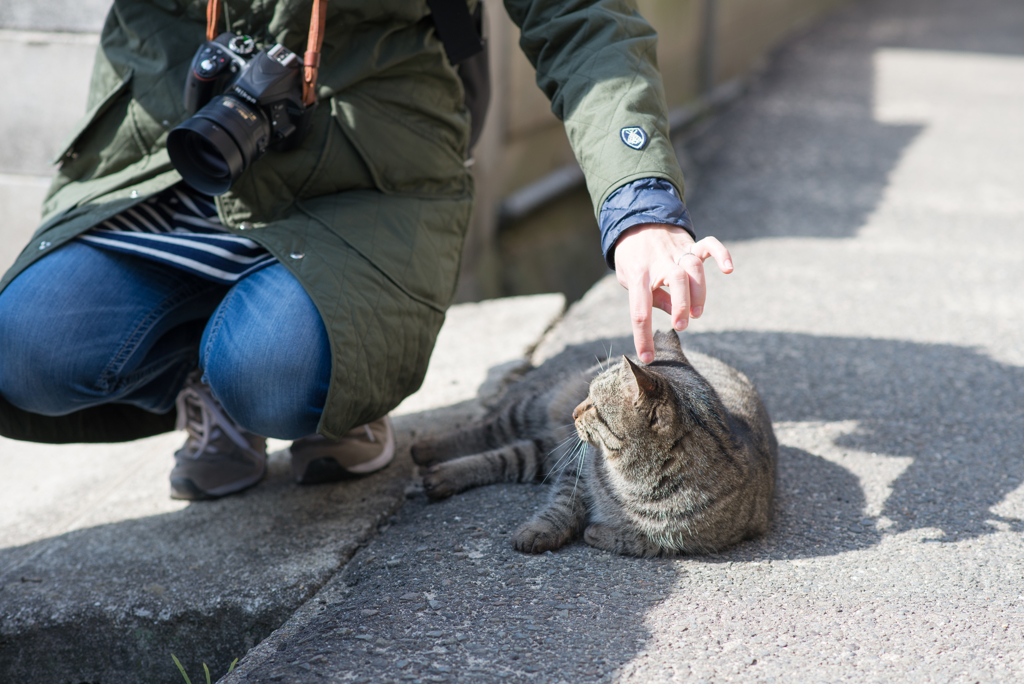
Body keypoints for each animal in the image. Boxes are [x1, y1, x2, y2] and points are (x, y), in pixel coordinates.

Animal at [407, 329, 774, 557]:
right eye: (589, 393)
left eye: (594, 405)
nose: (575, 411)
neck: (635, 481)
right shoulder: (577, 470)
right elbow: (561, 507)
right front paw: (541, 531)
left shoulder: (703, 540)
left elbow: (649, 541)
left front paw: (599, 532)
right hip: (534, 416)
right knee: (488, 430)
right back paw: (425, 449)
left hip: (547, 453)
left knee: (507, 457)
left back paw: (438, 475)